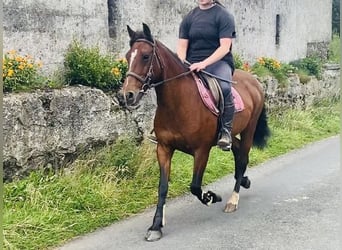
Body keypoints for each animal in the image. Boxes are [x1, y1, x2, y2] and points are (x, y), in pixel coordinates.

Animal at [117, 23, 270, 242]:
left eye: (145, 56)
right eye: (128, 55)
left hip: (249, 129)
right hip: (230, 134)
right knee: (237, 151)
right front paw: (156, 225)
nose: (126, 95)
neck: (178, 103)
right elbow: (162, 187)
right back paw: (245, 181)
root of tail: (254, 81)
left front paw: (211, 197)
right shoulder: (164, 148)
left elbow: (195, 186)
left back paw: (232, 200)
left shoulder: (202, 150)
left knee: (242, 159)